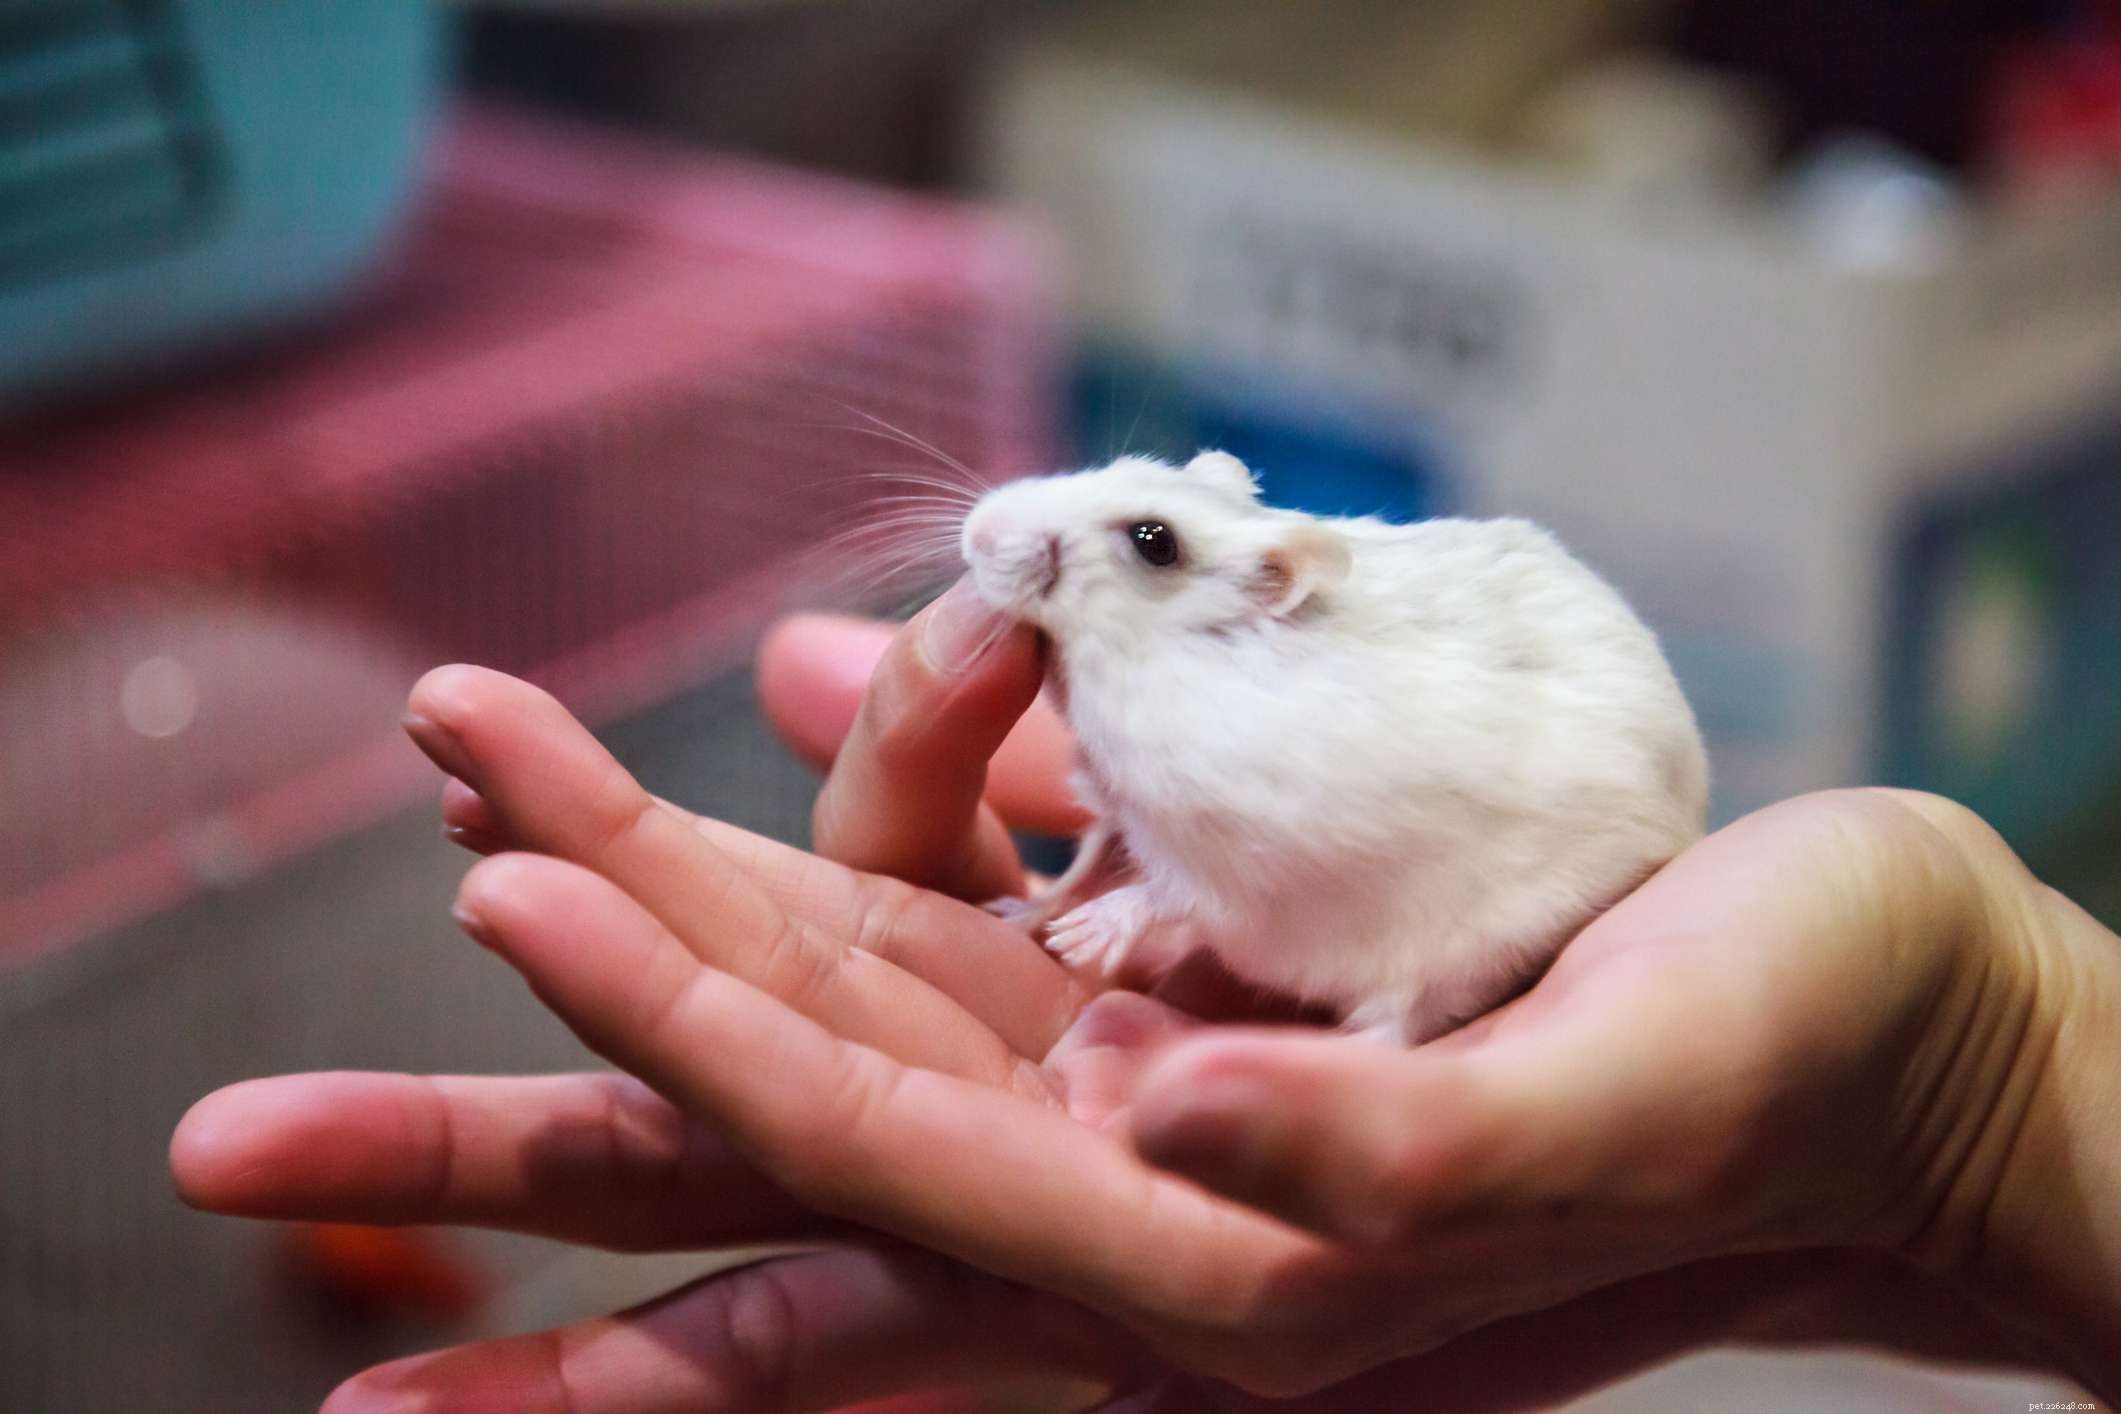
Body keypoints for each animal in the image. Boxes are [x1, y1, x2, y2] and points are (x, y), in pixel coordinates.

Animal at [959, 451, 1708, 1044]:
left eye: (1154, 541)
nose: (976, 531)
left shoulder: (1243, 859)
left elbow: (1167, 896)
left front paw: (1085, 937)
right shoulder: (1121, 810)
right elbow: (1086, 867)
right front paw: (1020, 915)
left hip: (1480, 949)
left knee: (1401, 1025)